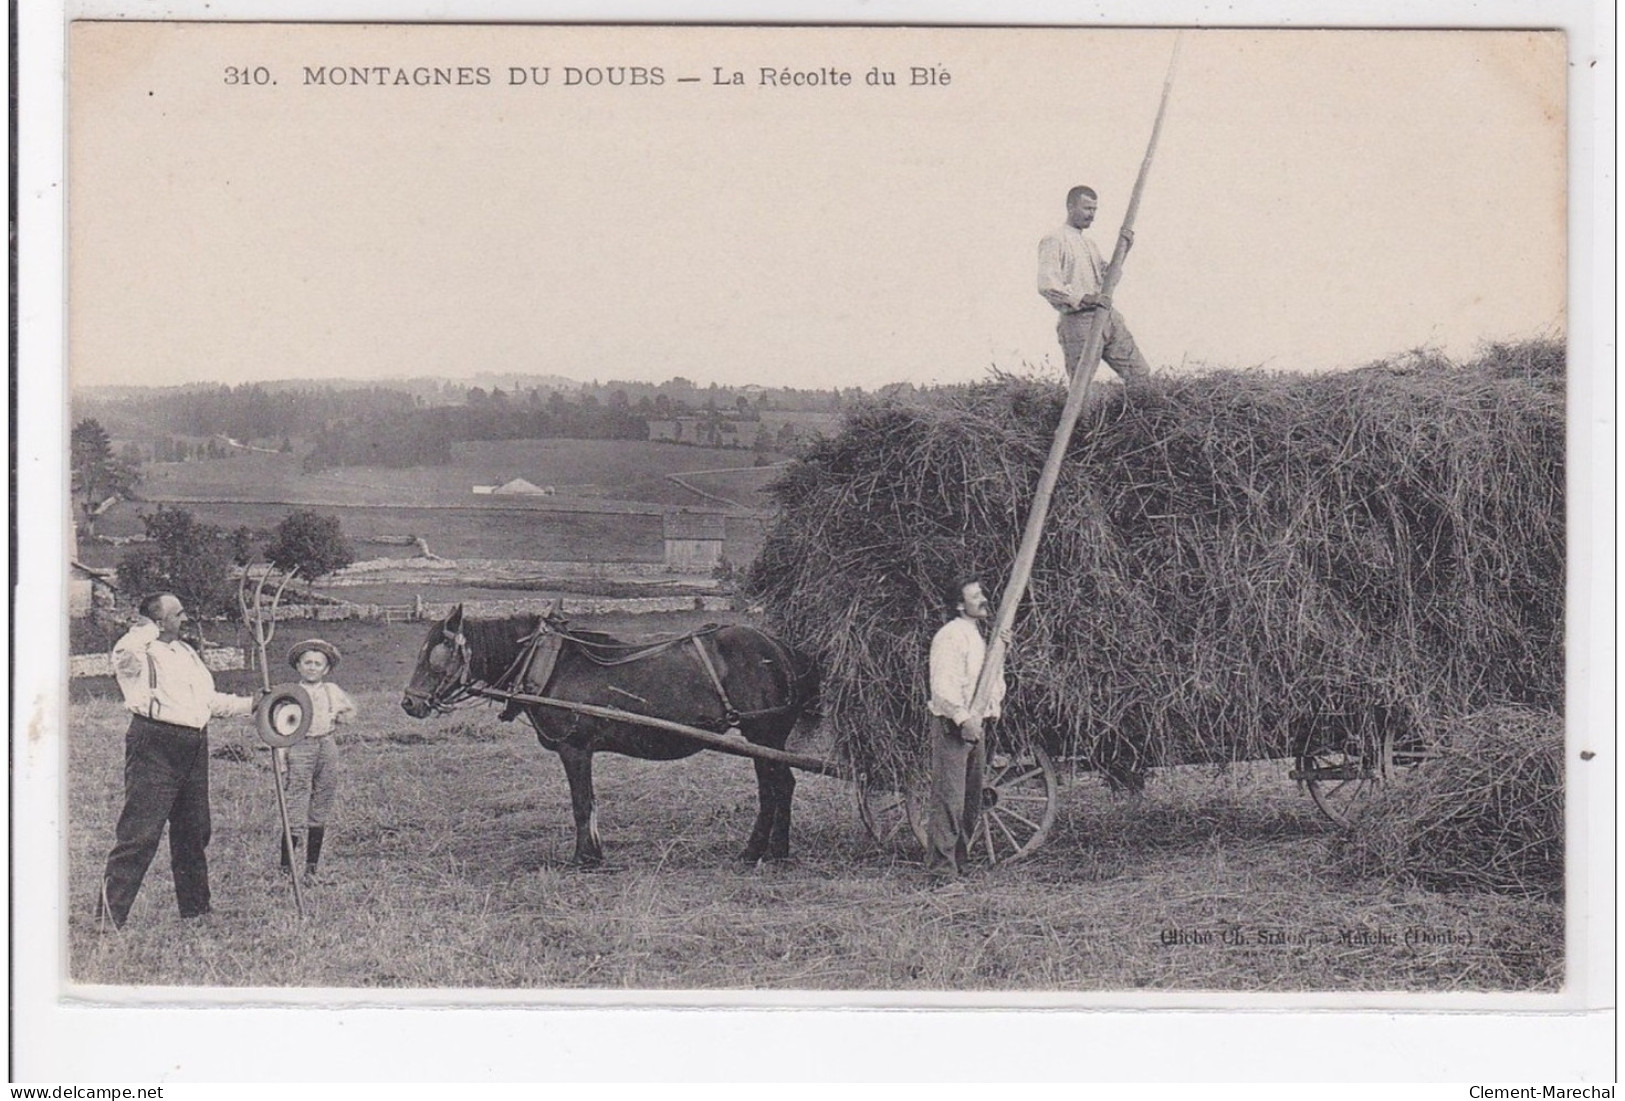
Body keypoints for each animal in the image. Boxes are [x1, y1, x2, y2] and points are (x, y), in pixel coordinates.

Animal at [401, 607, 819, 863]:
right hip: (768, 737)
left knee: (774, 786)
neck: (548, 663)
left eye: (434, 656)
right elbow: (591, 802)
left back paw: (757, 851)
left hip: (762, 732)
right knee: (783, 784)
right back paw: (776, 850)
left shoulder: (574, 748)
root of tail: (780, 648)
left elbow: (581, 803)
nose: (409, 703)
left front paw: (584, 857)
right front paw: (595, 851)